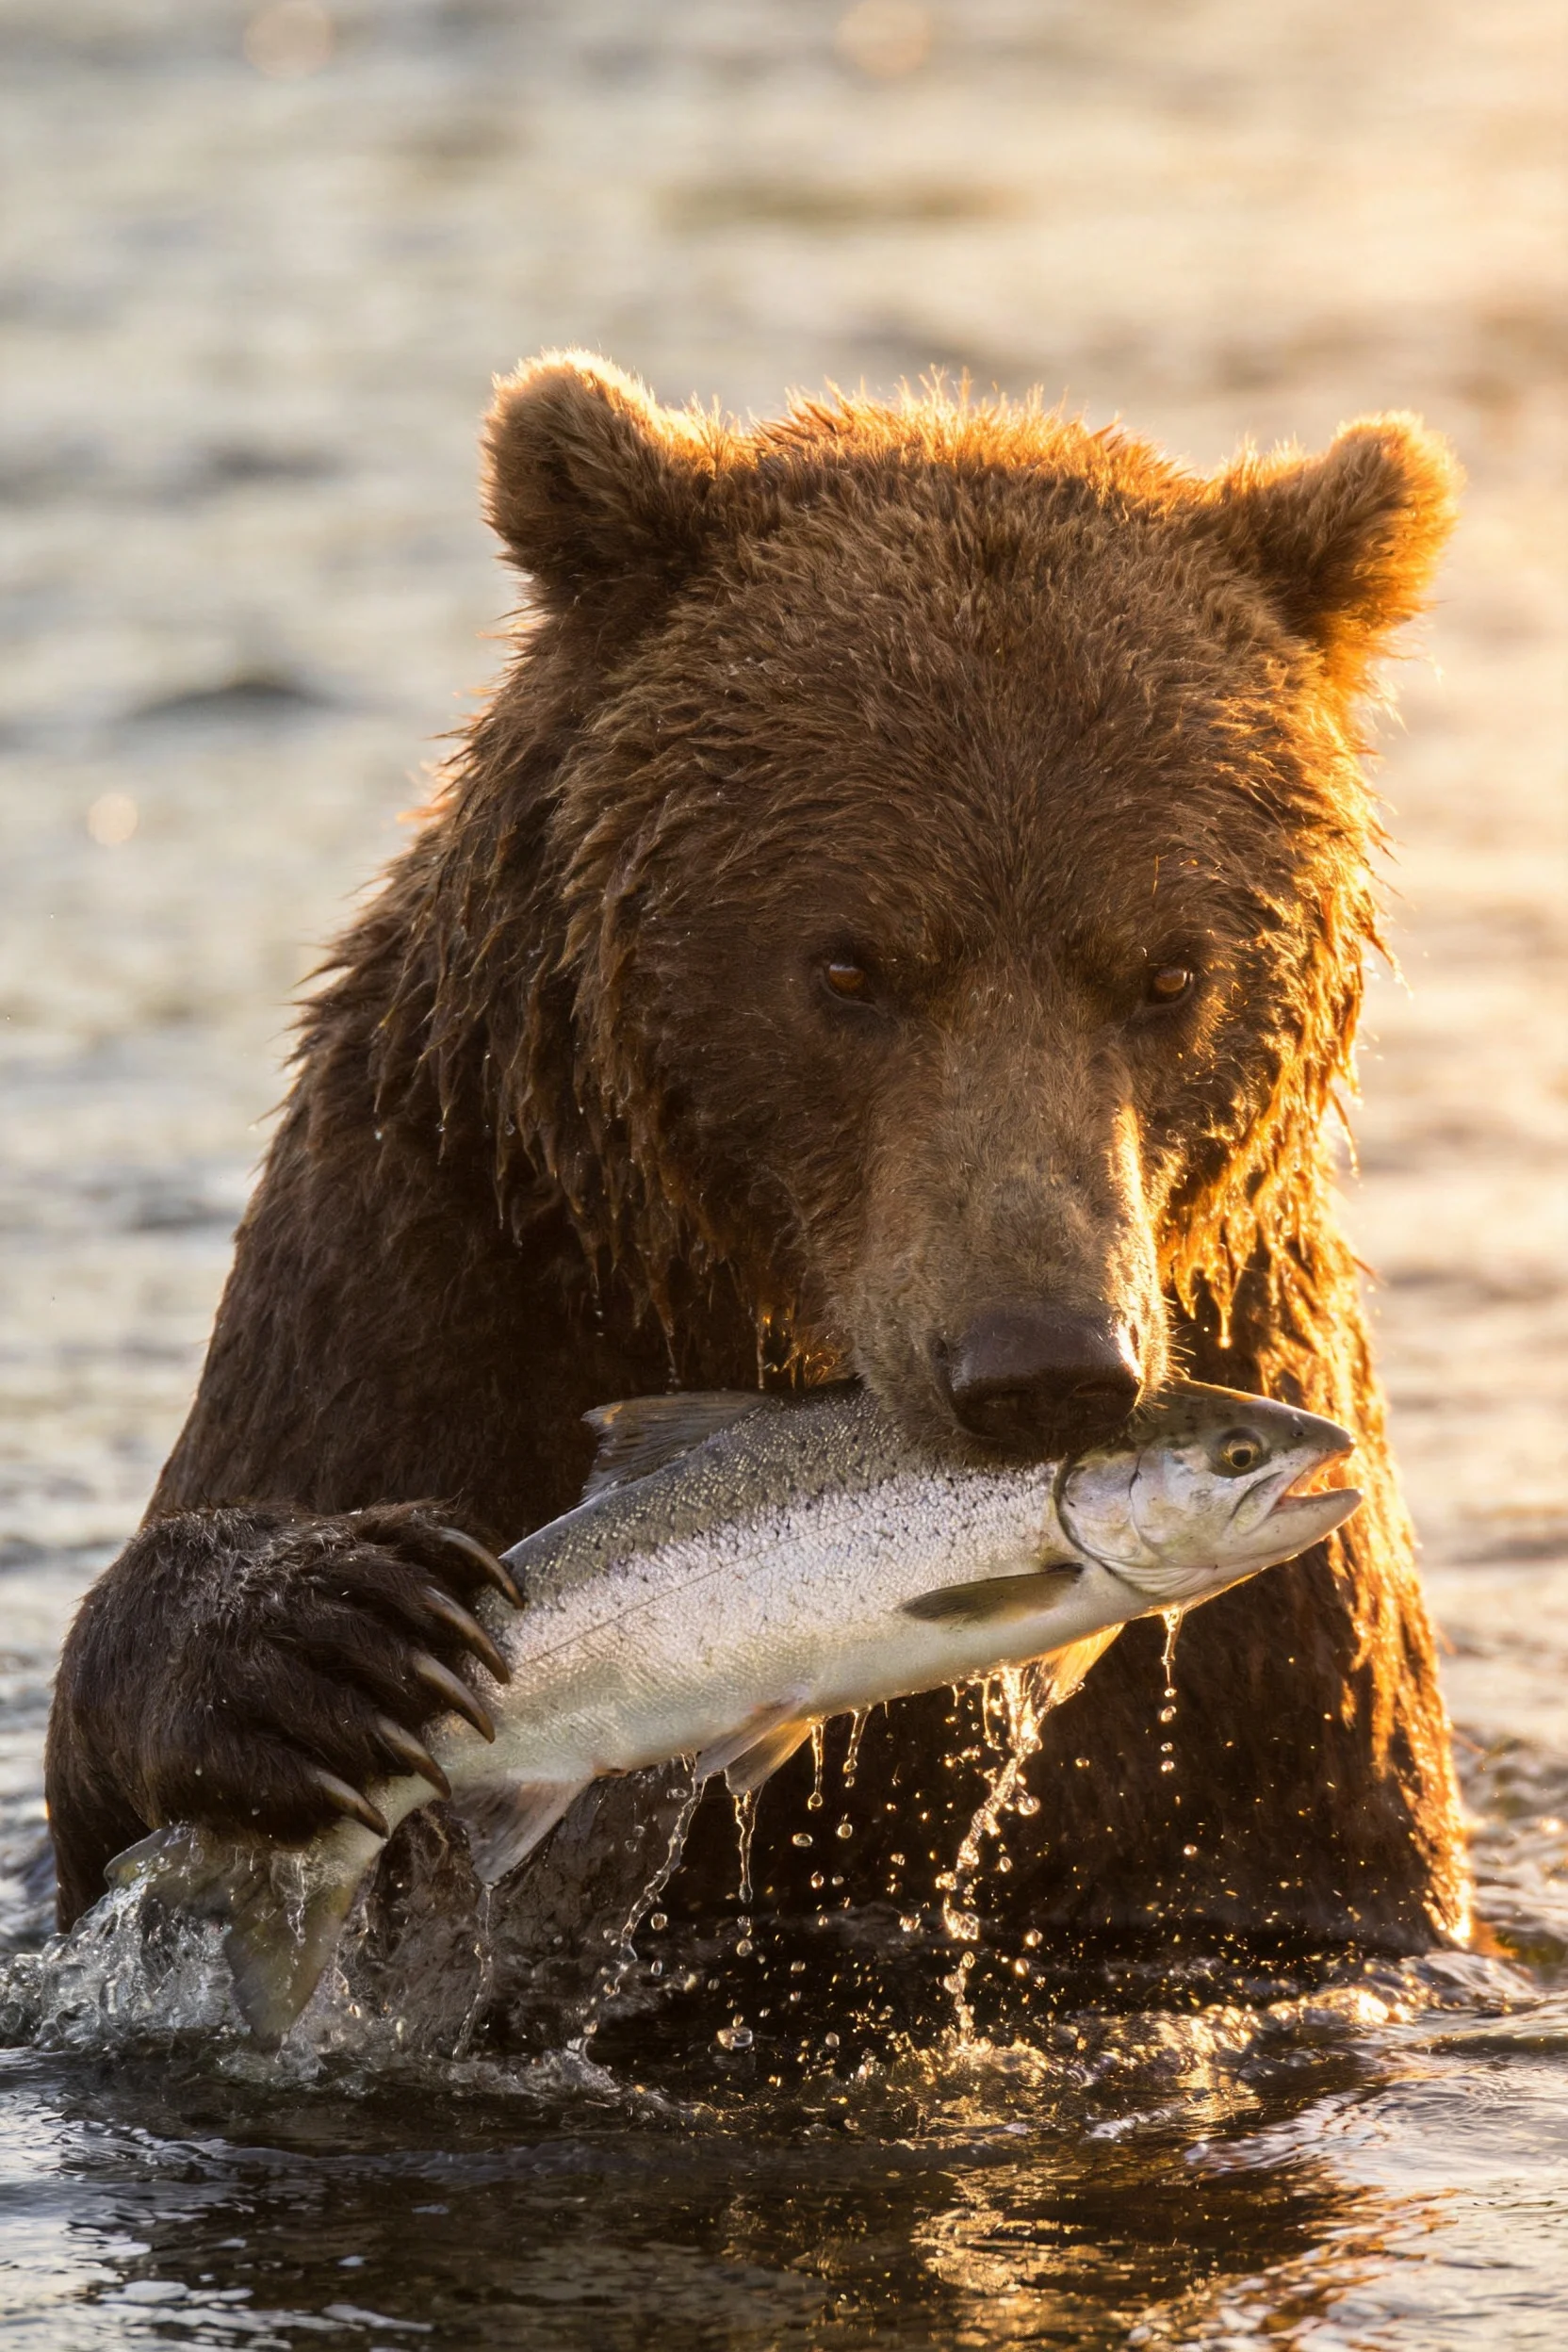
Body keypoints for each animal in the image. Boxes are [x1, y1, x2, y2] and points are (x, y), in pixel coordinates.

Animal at [46, 355, 1468, 1996]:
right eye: (850, 966)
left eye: (1171, 971)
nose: (1042, 1366)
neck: (758, 1313)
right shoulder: (435, 1257)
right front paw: (327, 1631)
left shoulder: (1263, 1661)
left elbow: (1293, 1862)